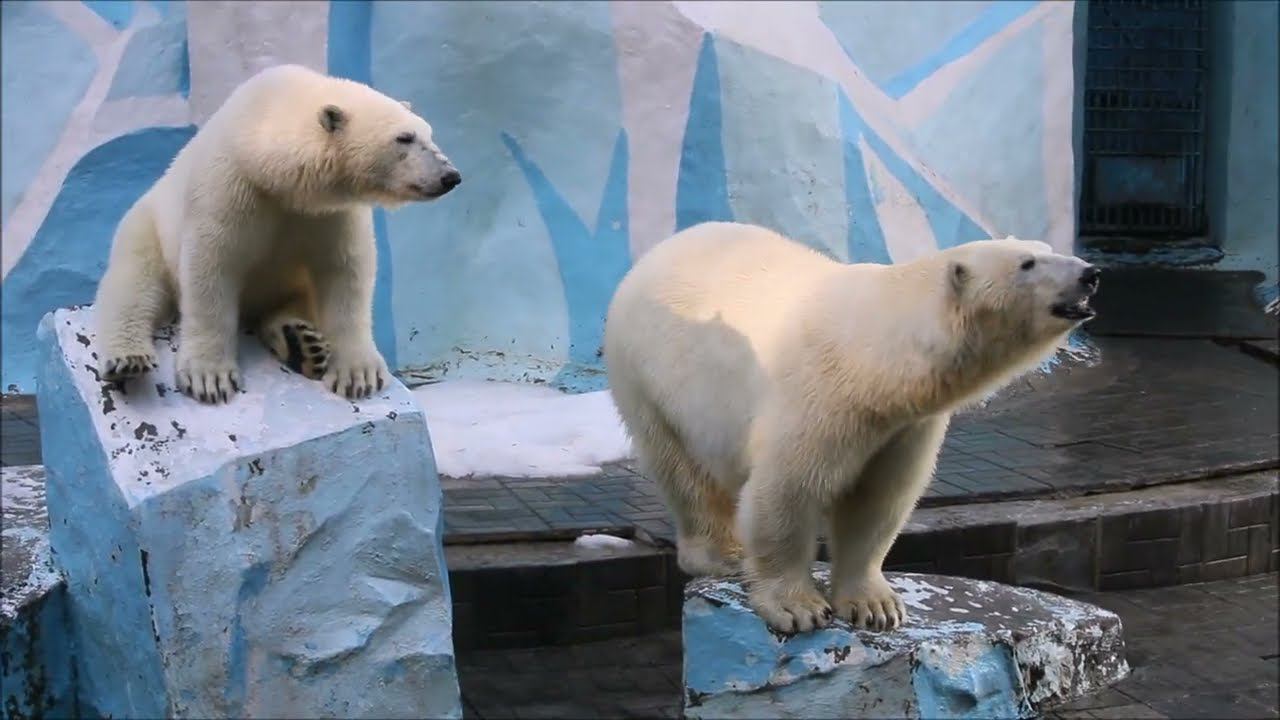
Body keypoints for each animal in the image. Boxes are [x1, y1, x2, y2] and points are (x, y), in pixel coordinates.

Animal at [92, 63, 461, 403]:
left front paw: (359, 373)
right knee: (133, 286)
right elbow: (210, 266)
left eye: (428, 133)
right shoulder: (229, 186)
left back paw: (300, 342)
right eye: (404, 138)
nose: (451, 176)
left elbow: (345, 272)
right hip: (146, 225)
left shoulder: (329, 212)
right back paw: (129, 358)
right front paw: (209, 376)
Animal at [604, 221, 1099, 634]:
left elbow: (879, 501)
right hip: (647, 375)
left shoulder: (904, 425)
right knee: (681, 470)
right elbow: (786, 492)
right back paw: (721, 553)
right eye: (1027, 263)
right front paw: (798, 608)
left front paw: (875, 607)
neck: (878, 358)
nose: (1091, 273)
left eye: (1047, 249)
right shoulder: (820, 398)